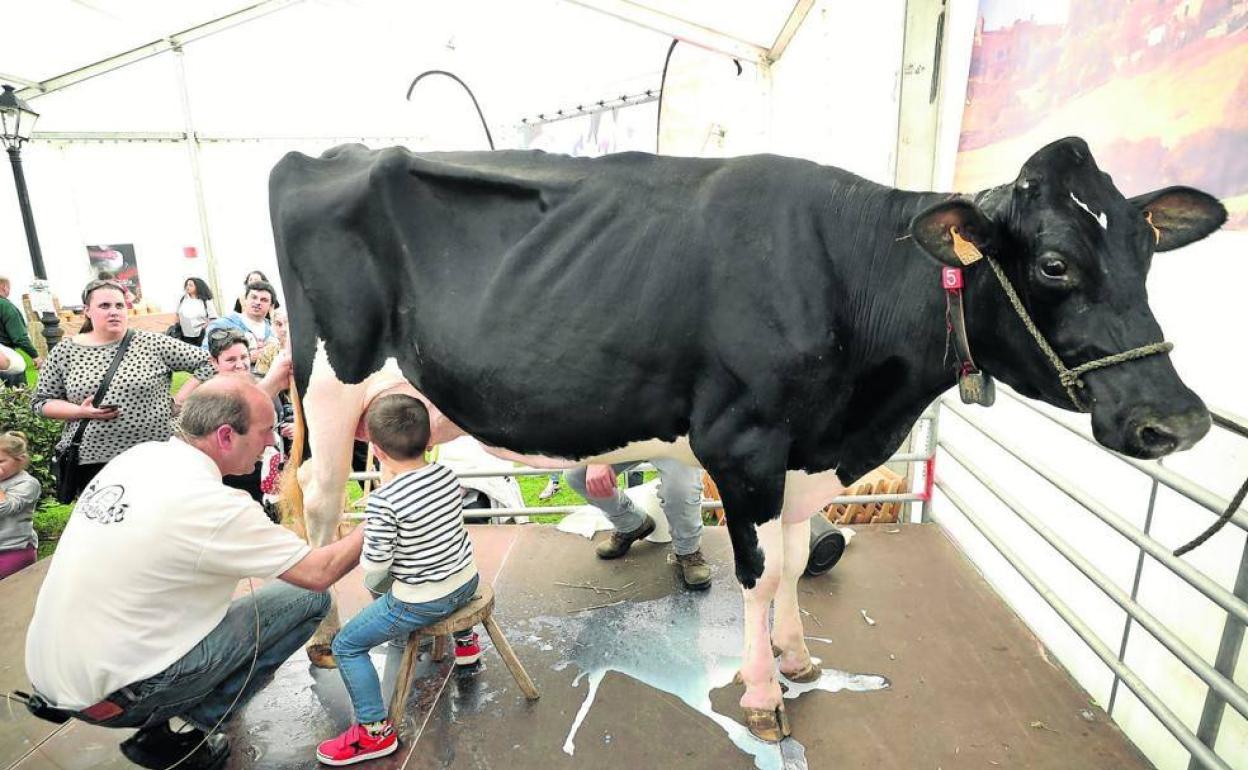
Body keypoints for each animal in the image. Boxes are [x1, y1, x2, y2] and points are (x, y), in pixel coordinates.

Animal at [270, 136, 1218, 738]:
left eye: (1148, 254)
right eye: (1054, 264)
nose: (1178, 420)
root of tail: (324, 154)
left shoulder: (807, 451)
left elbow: (797, 561)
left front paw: (799, 660)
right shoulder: (746, 444)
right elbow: (758, 575)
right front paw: (764, 695)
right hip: (332, 385)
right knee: (318, 505)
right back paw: (328, 632)